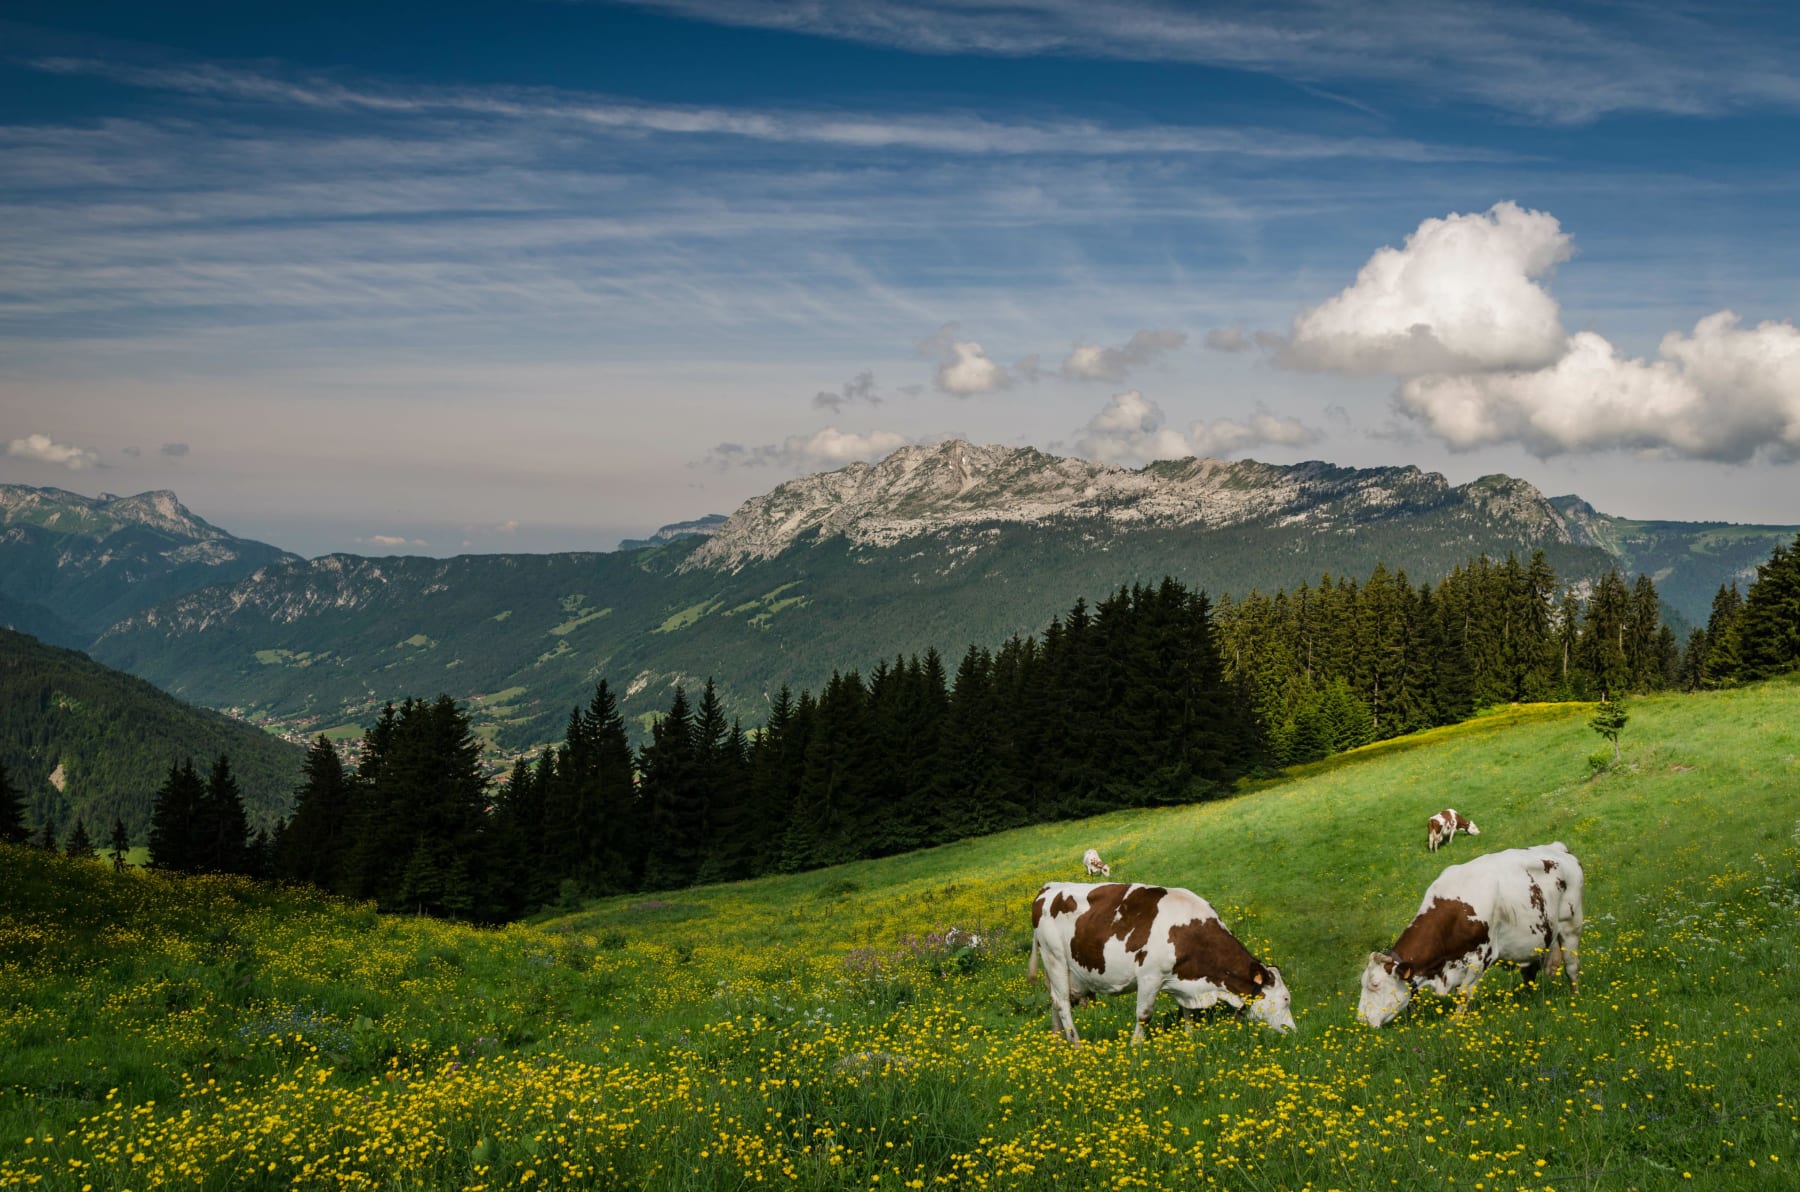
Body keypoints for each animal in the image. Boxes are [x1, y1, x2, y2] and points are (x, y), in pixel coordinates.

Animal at [1029, 878, 1296, 1044]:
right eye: (1285, 999)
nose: (1293, 1031)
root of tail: (1049, 888)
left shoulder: (1185, 977)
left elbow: (1187, 1011)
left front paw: (1189, 1038)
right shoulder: (1150, 976)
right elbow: (1144, 1014)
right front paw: (1135, 1047)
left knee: (1055, 1002)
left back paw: (1058, 1041)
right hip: (1055, 959)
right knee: (1062, 1004)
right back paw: (1077, 1046)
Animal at [1353, 846, 1584, 1029]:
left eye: (1375, 984)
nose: (1362, 1020)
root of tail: (1559, 848)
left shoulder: (1480, 958)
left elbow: (1463, 994)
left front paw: (1455, 1025)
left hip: (1571, 926)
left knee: (1571, 966)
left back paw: (1575, 999)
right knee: (1529, 973)